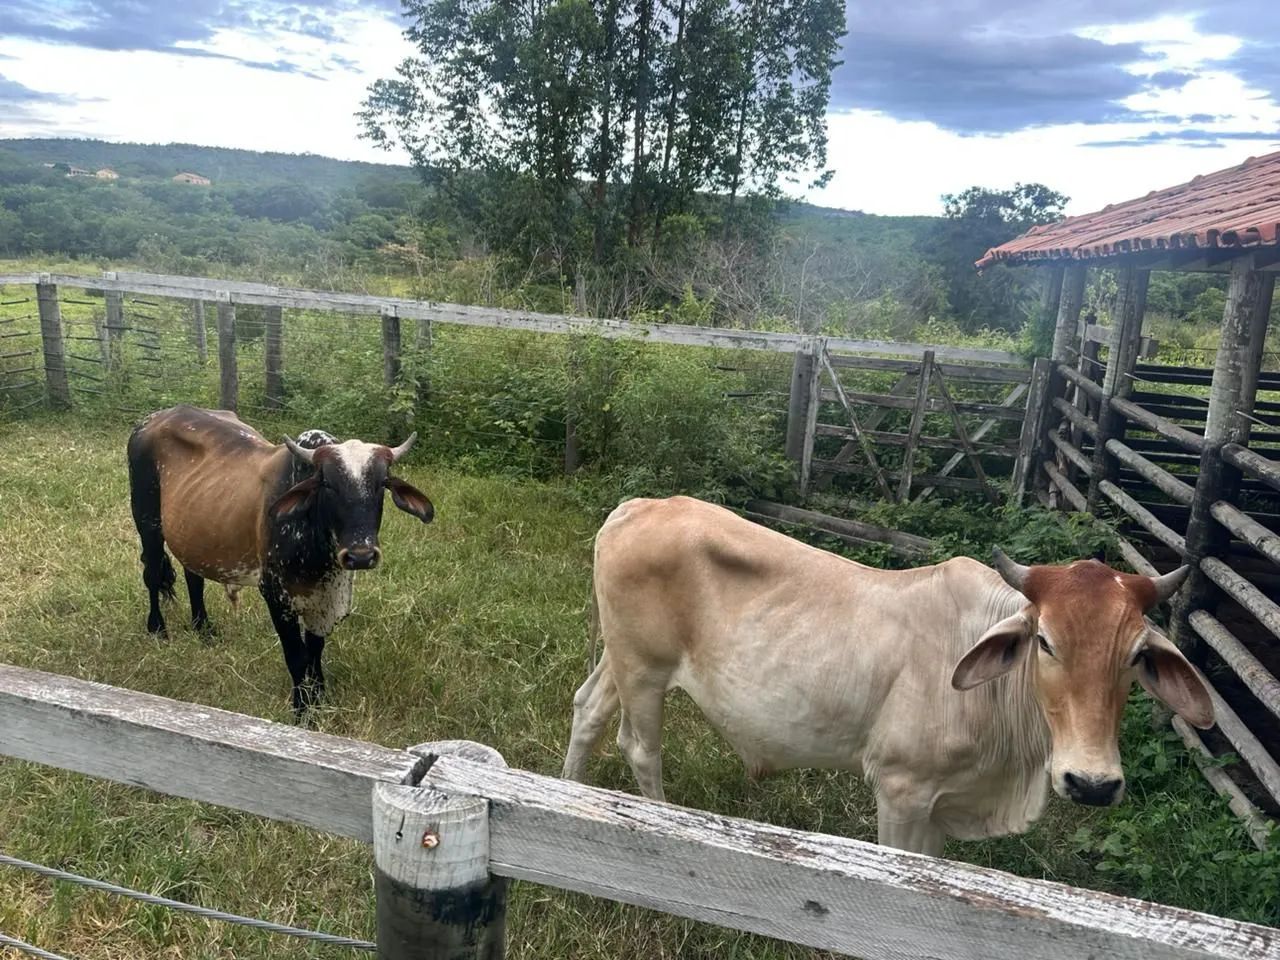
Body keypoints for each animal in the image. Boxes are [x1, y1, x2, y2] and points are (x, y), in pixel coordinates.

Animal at [127, 405, 434, 716]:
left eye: (382, 484)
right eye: (327, 484)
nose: (361, 555)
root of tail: (156, 417)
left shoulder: (324, 597)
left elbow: (314, 652)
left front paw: (318, 698)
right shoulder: (276, 595)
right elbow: (296, 656)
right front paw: (302, 711)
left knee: (194, 576)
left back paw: (203, 629)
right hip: (147, 521)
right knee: (152, 573)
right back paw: (157, 629)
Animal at [561, 496, 1214, 856]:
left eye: (1136, 655)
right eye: (1045, 641)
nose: (1092, 783)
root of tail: (638, 506)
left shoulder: (940, 805)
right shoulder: (901, 790)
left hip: (623, 657)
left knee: (588, 709)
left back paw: (568, 794)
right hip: (645, 671)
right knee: (639, 747)